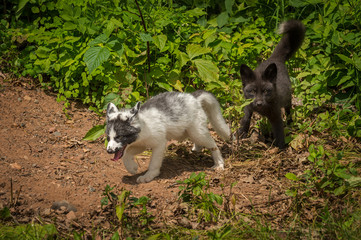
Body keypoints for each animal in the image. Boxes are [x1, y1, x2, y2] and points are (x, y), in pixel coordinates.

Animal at [239, 20, 304, 148]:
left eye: (265, 91)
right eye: (252, 91)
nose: (259, 103)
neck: (262, 110)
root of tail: (274, 58)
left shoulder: (276, 115)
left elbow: (279, 132)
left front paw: (281, 148)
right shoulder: (247, 107)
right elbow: (246, 120)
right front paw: (241, 135)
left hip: (287, 99)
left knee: (288, 111)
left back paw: (290, 123)